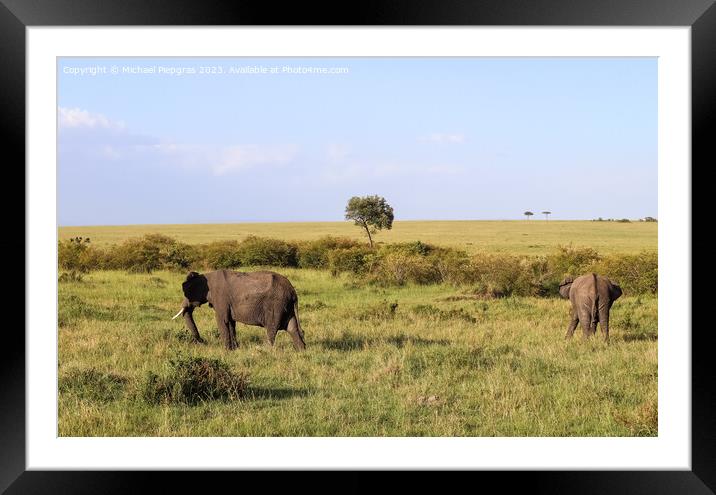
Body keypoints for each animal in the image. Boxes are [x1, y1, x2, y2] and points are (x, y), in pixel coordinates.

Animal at [175, 272, 310, 352]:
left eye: (187, 291)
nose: (202, 341)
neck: (206, 275)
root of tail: (292, 290)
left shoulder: (221, 298)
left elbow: (222, 321)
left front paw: (226, 351)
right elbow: (231, 323)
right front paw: (234, 349)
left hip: (276, 304)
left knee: (272, 328)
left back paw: (264, 350)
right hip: (287, 305)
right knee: (292, 328)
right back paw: (301, 350)